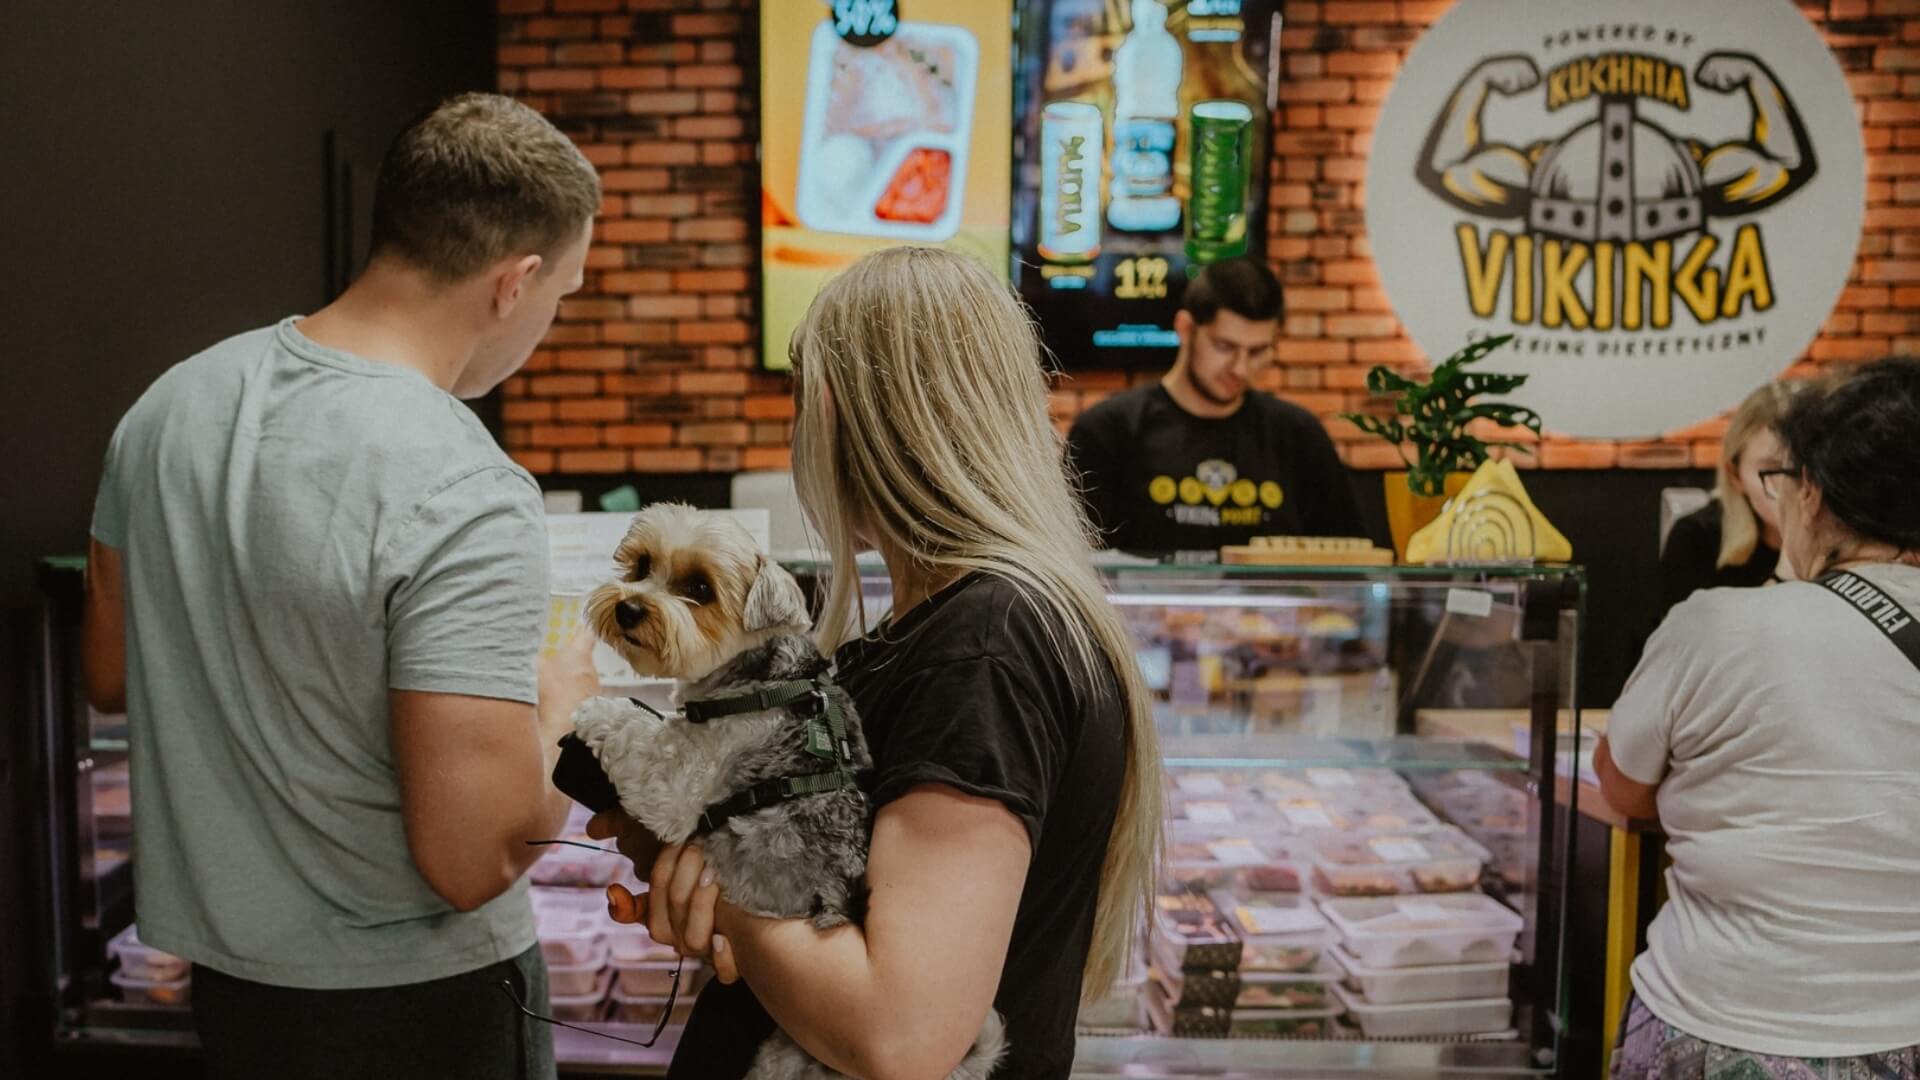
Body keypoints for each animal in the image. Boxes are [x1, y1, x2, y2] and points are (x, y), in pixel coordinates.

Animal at [568, 503, 1013, 1076]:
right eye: (642, 565)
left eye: (699, 588)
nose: (628, 608)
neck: (756, 675)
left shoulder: (676, 777)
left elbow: (639, 735)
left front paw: (593, 708)